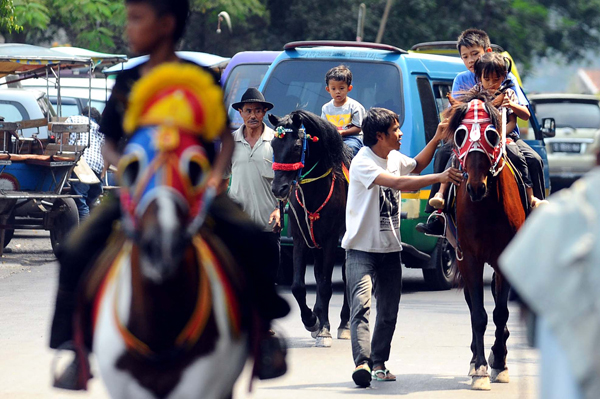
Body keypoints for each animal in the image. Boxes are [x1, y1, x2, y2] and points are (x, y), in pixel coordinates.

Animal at [268, 111, 350, 348]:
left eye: (296, 147)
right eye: (273, 144)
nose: (278, 189)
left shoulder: (331, 240)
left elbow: (325, 286)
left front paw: (324, 330)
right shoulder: (300, 238)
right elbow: (298, 286)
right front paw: (312, 321)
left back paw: (344, 323)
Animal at [446, 92, 524, 392]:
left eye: (492, 134)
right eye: (460, 134)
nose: (476, 187)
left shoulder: (505, 256)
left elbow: (501, 312)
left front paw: (499, 363)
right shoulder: (469, 257)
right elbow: (478, 314)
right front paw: (479, 369)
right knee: (472, 305)